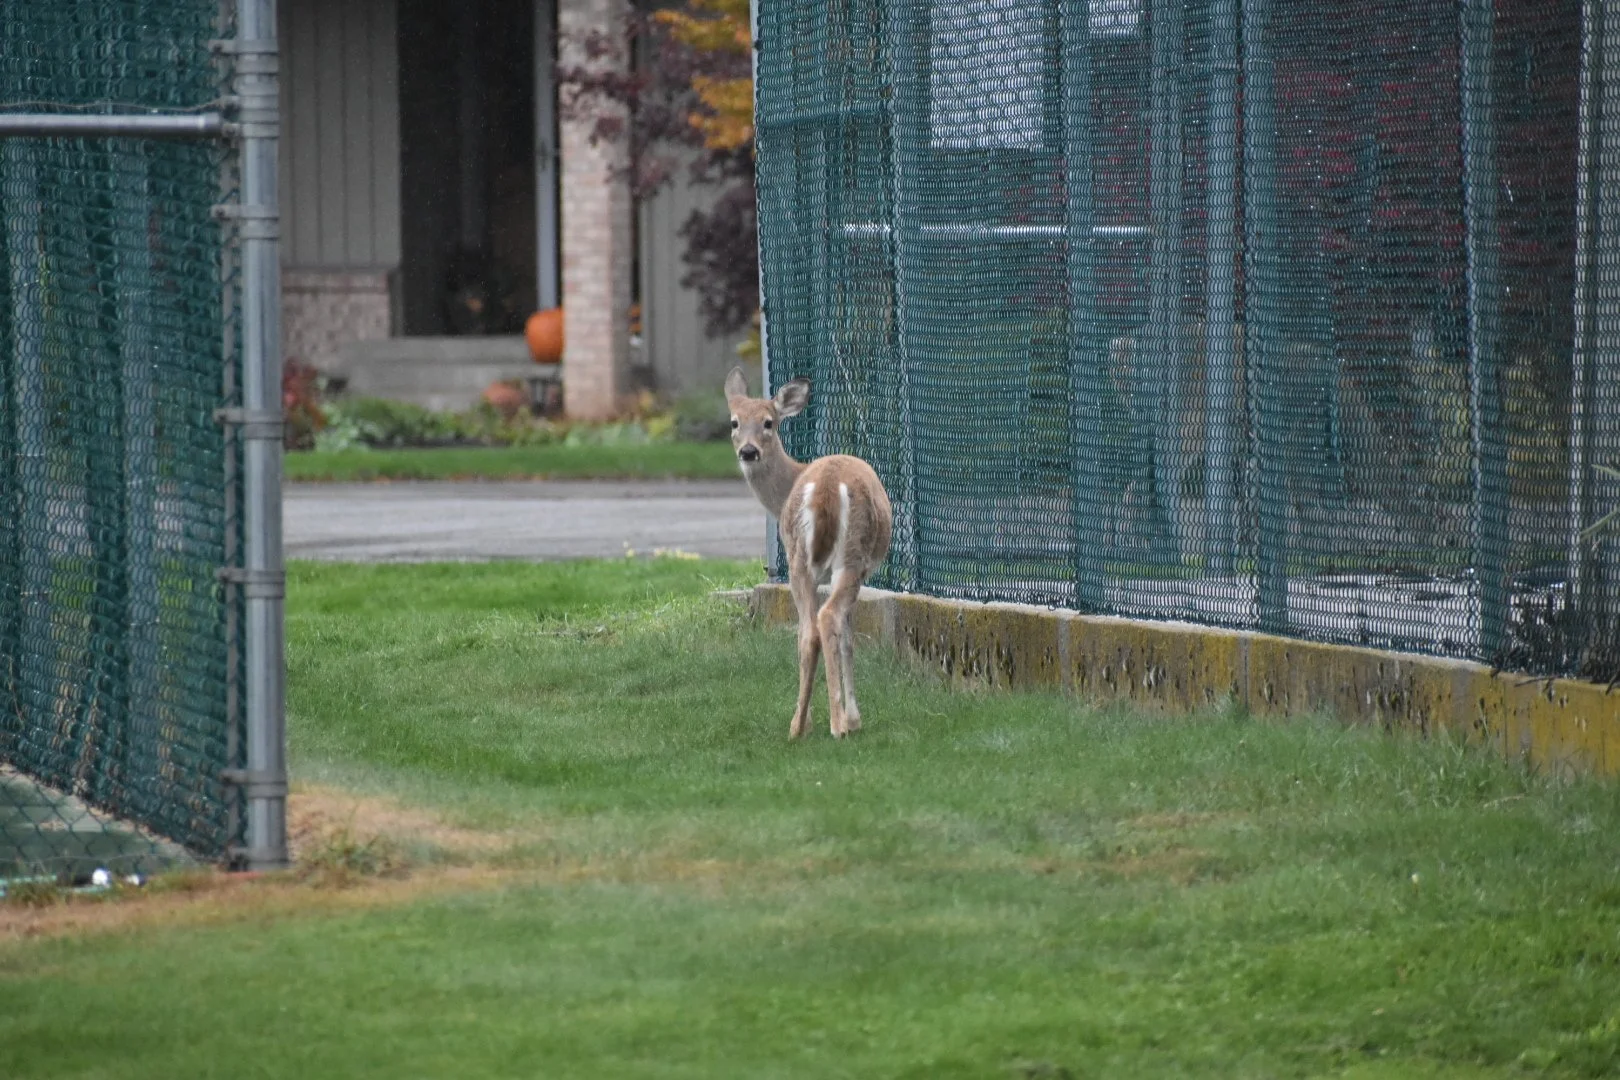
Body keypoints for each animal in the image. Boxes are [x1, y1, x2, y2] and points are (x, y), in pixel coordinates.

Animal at [725, 367, 893, 739]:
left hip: (800, 558)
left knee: (808, 632)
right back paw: (836, 724)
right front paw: (853, 717)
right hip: (849, 557)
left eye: (768, 422)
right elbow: (848, 638)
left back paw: (801, 725)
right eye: (734, 422)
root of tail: (827, 487)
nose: (748, 451)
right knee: (826, 619)